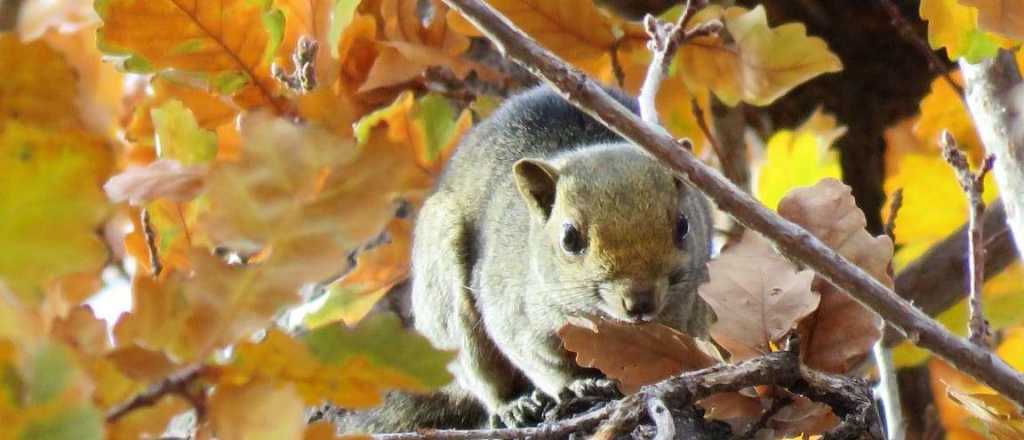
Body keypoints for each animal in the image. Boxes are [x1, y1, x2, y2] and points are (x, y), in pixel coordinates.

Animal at [339, 85, 716, 433]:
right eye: (569, 239)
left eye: (683, 226)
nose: (638, 302)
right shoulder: (509, 308)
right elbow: (536, 357)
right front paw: (576, 384)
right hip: (445, 291)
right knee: (480, 372)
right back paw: (513, 407)